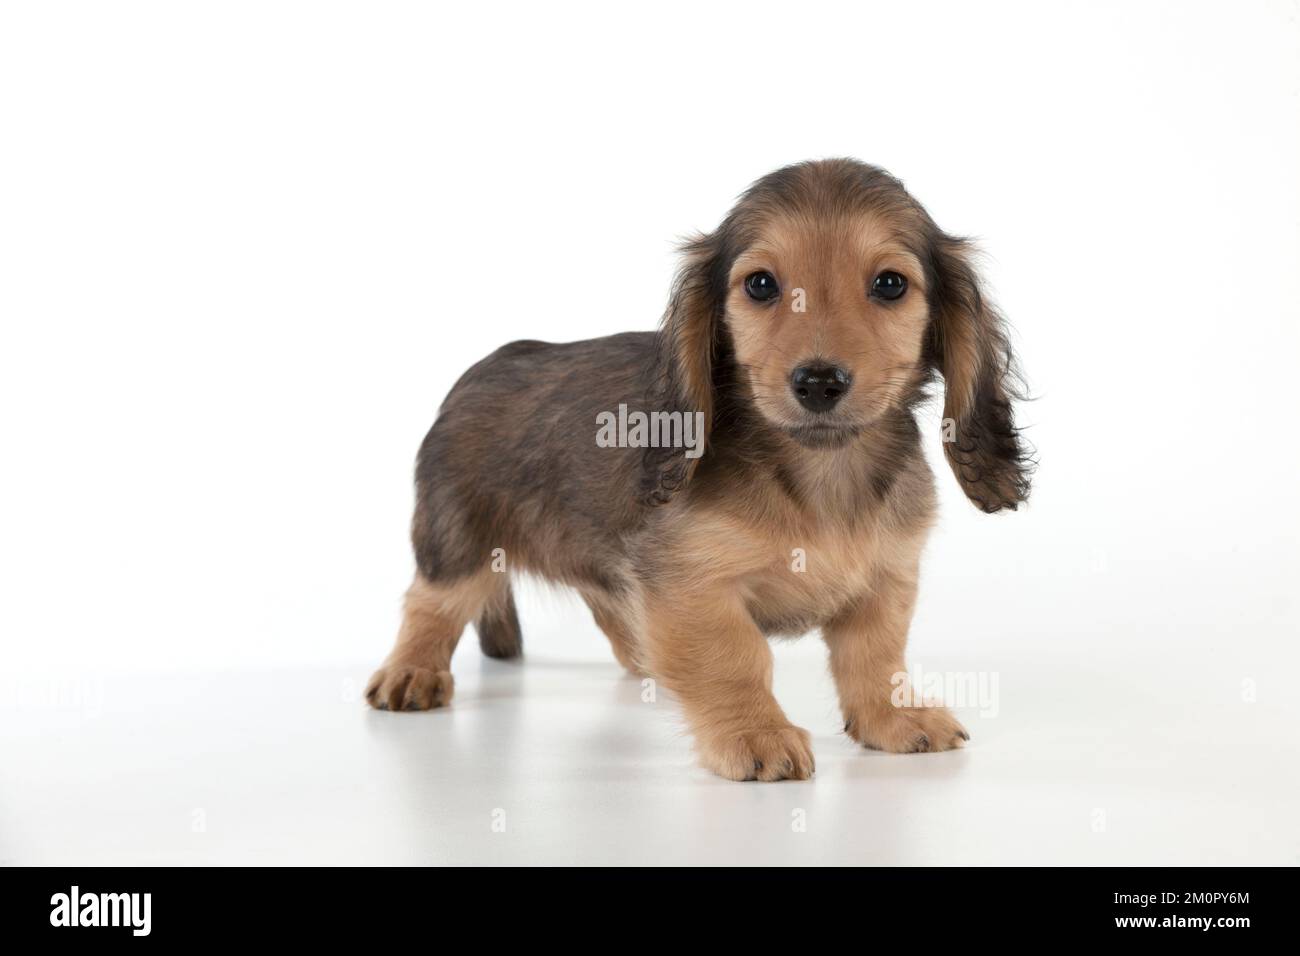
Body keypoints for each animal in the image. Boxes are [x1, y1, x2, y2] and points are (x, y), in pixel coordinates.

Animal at [369, 160, 1034, 780]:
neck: (820, 470)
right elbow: (736, 657)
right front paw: (754, 734)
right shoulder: (690, 582)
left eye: (891, 284)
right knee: (431, 603)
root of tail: (482, 368)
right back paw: (411, 670)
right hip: (457, 540)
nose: (818, 382)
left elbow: (874, 656)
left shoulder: (884, 577)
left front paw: (891, 718)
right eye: (761, 285)